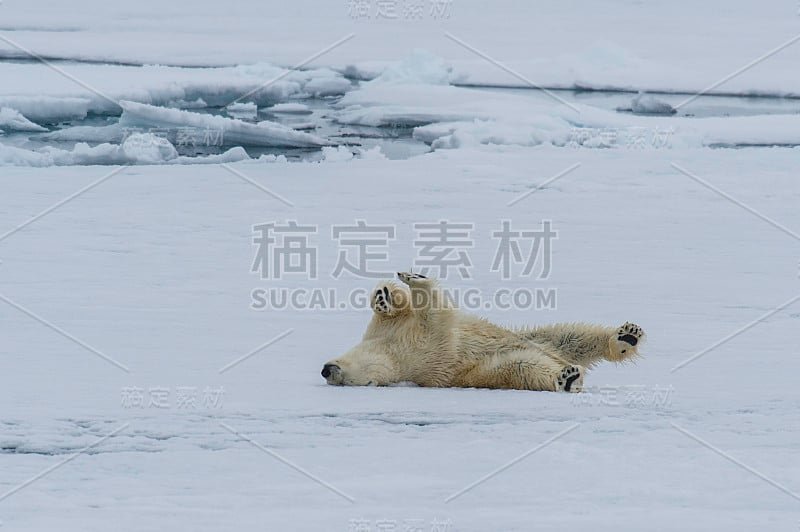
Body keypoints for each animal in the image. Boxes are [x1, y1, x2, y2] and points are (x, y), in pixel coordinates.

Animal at [318, 274, 644, 390]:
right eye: (345, 381)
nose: (325, 369)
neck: (390, 352)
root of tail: (555, 355)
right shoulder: (424, 351)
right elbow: (434, 315)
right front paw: (416, 282)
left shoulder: (388, 333)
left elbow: (399, 310)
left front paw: (388, 292)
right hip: (497, 366)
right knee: (527, 367)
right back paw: (568, 378)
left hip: (535, 338)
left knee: (570, 334)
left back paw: (626, 336)